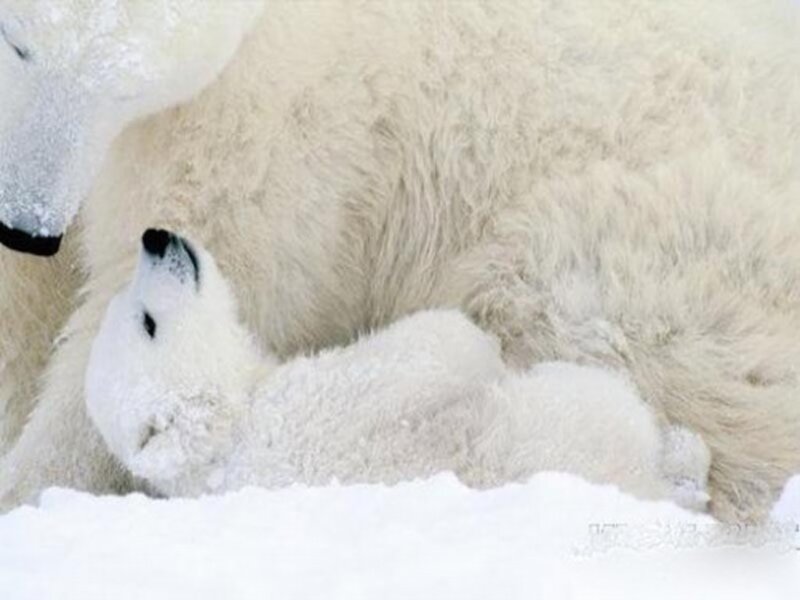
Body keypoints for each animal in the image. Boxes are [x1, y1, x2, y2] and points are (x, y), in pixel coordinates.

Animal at [85, 230, 711, 508]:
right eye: (148, 322)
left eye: (132, 310)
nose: (155, 237)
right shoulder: (310, 409)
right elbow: (429, 349)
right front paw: (476, 342)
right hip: (571, 418)